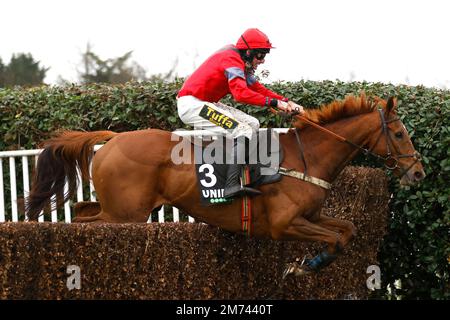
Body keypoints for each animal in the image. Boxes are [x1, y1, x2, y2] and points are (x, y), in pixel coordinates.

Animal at [24, 94, 426, 274]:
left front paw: (310, 262)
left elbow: (348, 229)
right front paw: (306, 265)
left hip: (120, 209)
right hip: (126, 215)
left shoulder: (312, 216)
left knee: (80, 211)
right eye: (399, 133)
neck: (305, 157)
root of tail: (112, 139)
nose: (419, 173)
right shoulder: (284, 224)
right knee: (86, 224)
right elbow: (336, 239)